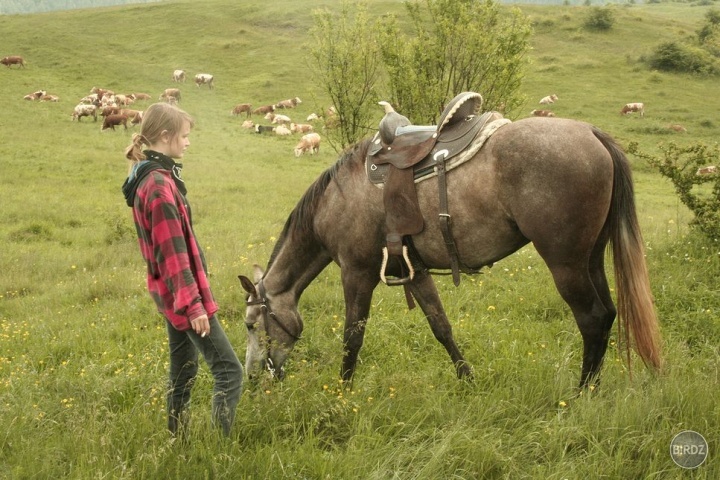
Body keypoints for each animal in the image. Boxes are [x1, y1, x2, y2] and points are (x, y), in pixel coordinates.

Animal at [242, 116, 664, 390]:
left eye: (249, 324)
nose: (253, 376)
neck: (339, 198)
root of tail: (592, 133)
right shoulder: (416, 271)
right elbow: (440, 326)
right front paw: (468, 379)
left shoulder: (356, 273)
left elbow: (352, 336)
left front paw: (343, 392)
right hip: (590, 259)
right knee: (607, 314)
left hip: (566, 264)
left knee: (592, 319)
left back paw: (580, 395)